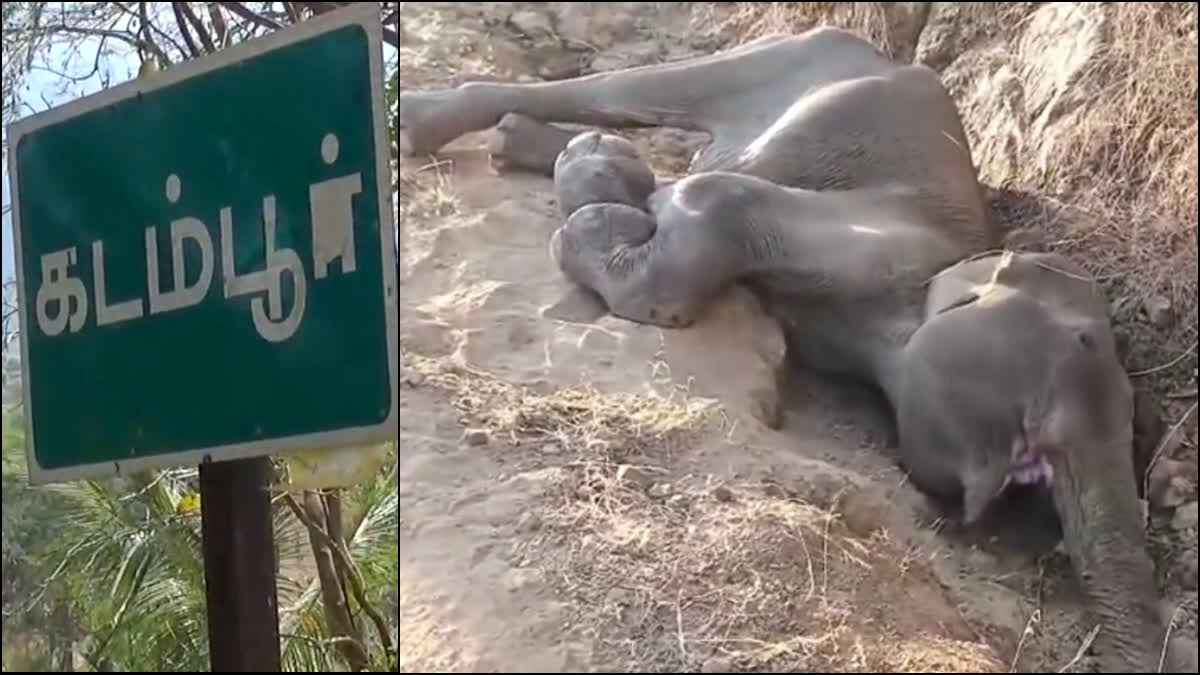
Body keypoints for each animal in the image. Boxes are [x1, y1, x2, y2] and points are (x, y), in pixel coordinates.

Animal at [400, 24, 1190, 667]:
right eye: (1080, 340)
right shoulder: (877, 239)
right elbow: (709, 201)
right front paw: (600, 208)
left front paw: (605, 195)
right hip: (785, 57)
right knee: (628, 94)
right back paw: (454, 128)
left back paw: (551, 147)